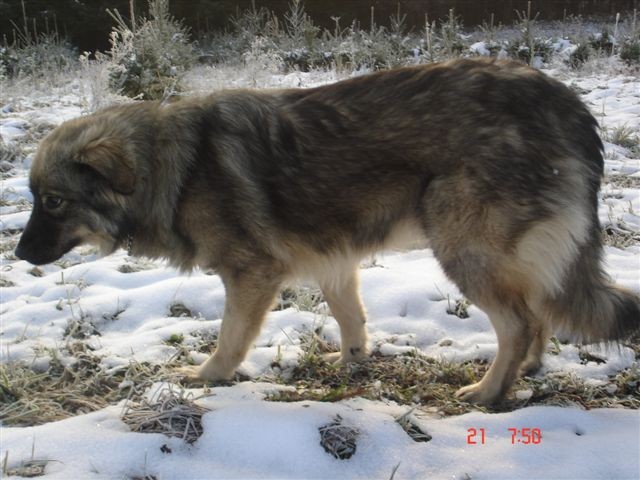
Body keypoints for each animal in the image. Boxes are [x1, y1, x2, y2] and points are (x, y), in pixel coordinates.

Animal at [13, 59, 636, 404]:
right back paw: (526, 369)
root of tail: (569, 104)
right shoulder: (332, 261)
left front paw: (209, 376)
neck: (173, 167)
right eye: (35, 199)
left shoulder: (252, 274)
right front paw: (353, 363)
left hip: (462, 246)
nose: (17, 255)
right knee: (536, 310)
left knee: (519, 319)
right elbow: (350, 318)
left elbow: (231, 335)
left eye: (54, 201)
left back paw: (490, 392)